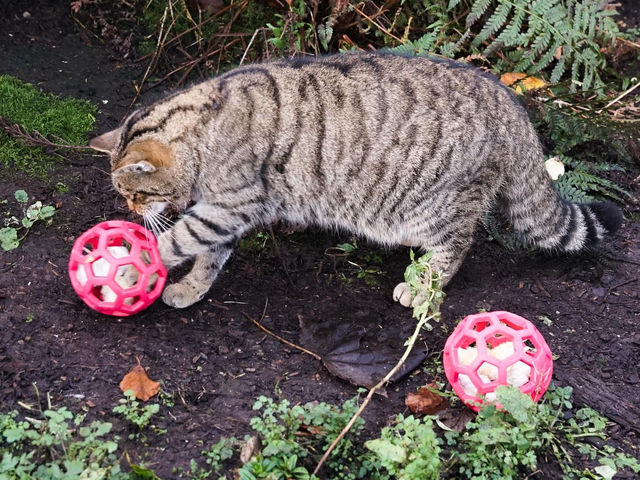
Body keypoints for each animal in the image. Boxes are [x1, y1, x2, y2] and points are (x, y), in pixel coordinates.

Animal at [87, 52, 624, 308]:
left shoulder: (227, 205)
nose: (130, 210)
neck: (205, 122)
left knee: (458, 244)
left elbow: (175, 241)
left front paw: (132, 271)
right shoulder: (225, 212)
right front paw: (190, 288)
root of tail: (513, 105)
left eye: (135, 193)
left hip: (437, 206)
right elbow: (208, 258)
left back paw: (423, 285)